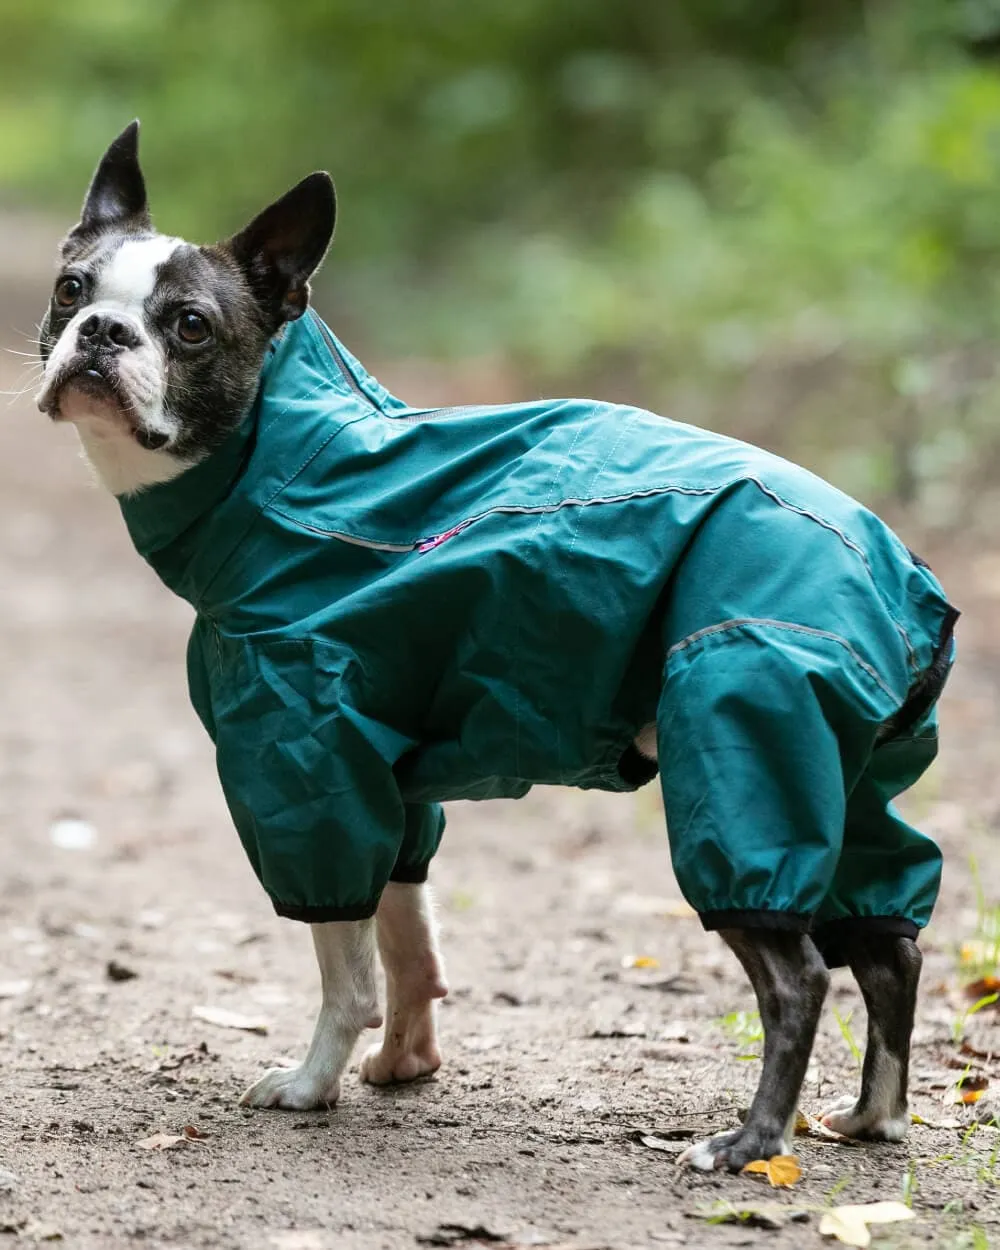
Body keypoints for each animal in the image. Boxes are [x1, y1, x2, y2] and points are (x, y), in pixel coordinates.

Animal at [40, 121, 960, 1165]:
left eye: (190, 325)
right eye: (71, 289)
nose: (102, 333)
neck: (287, 464)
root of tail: (899, 574)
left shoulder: (308, 763)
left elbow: (346, 969)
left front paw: (313, 1085)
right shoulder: (390, 781)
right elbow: (407, 937)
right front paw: (406, 1063)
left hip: (749, 752)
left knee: (798, 975)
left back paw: (750, 1144)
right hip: (851, 786)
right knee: (890, 946)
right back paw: (874, 1115)